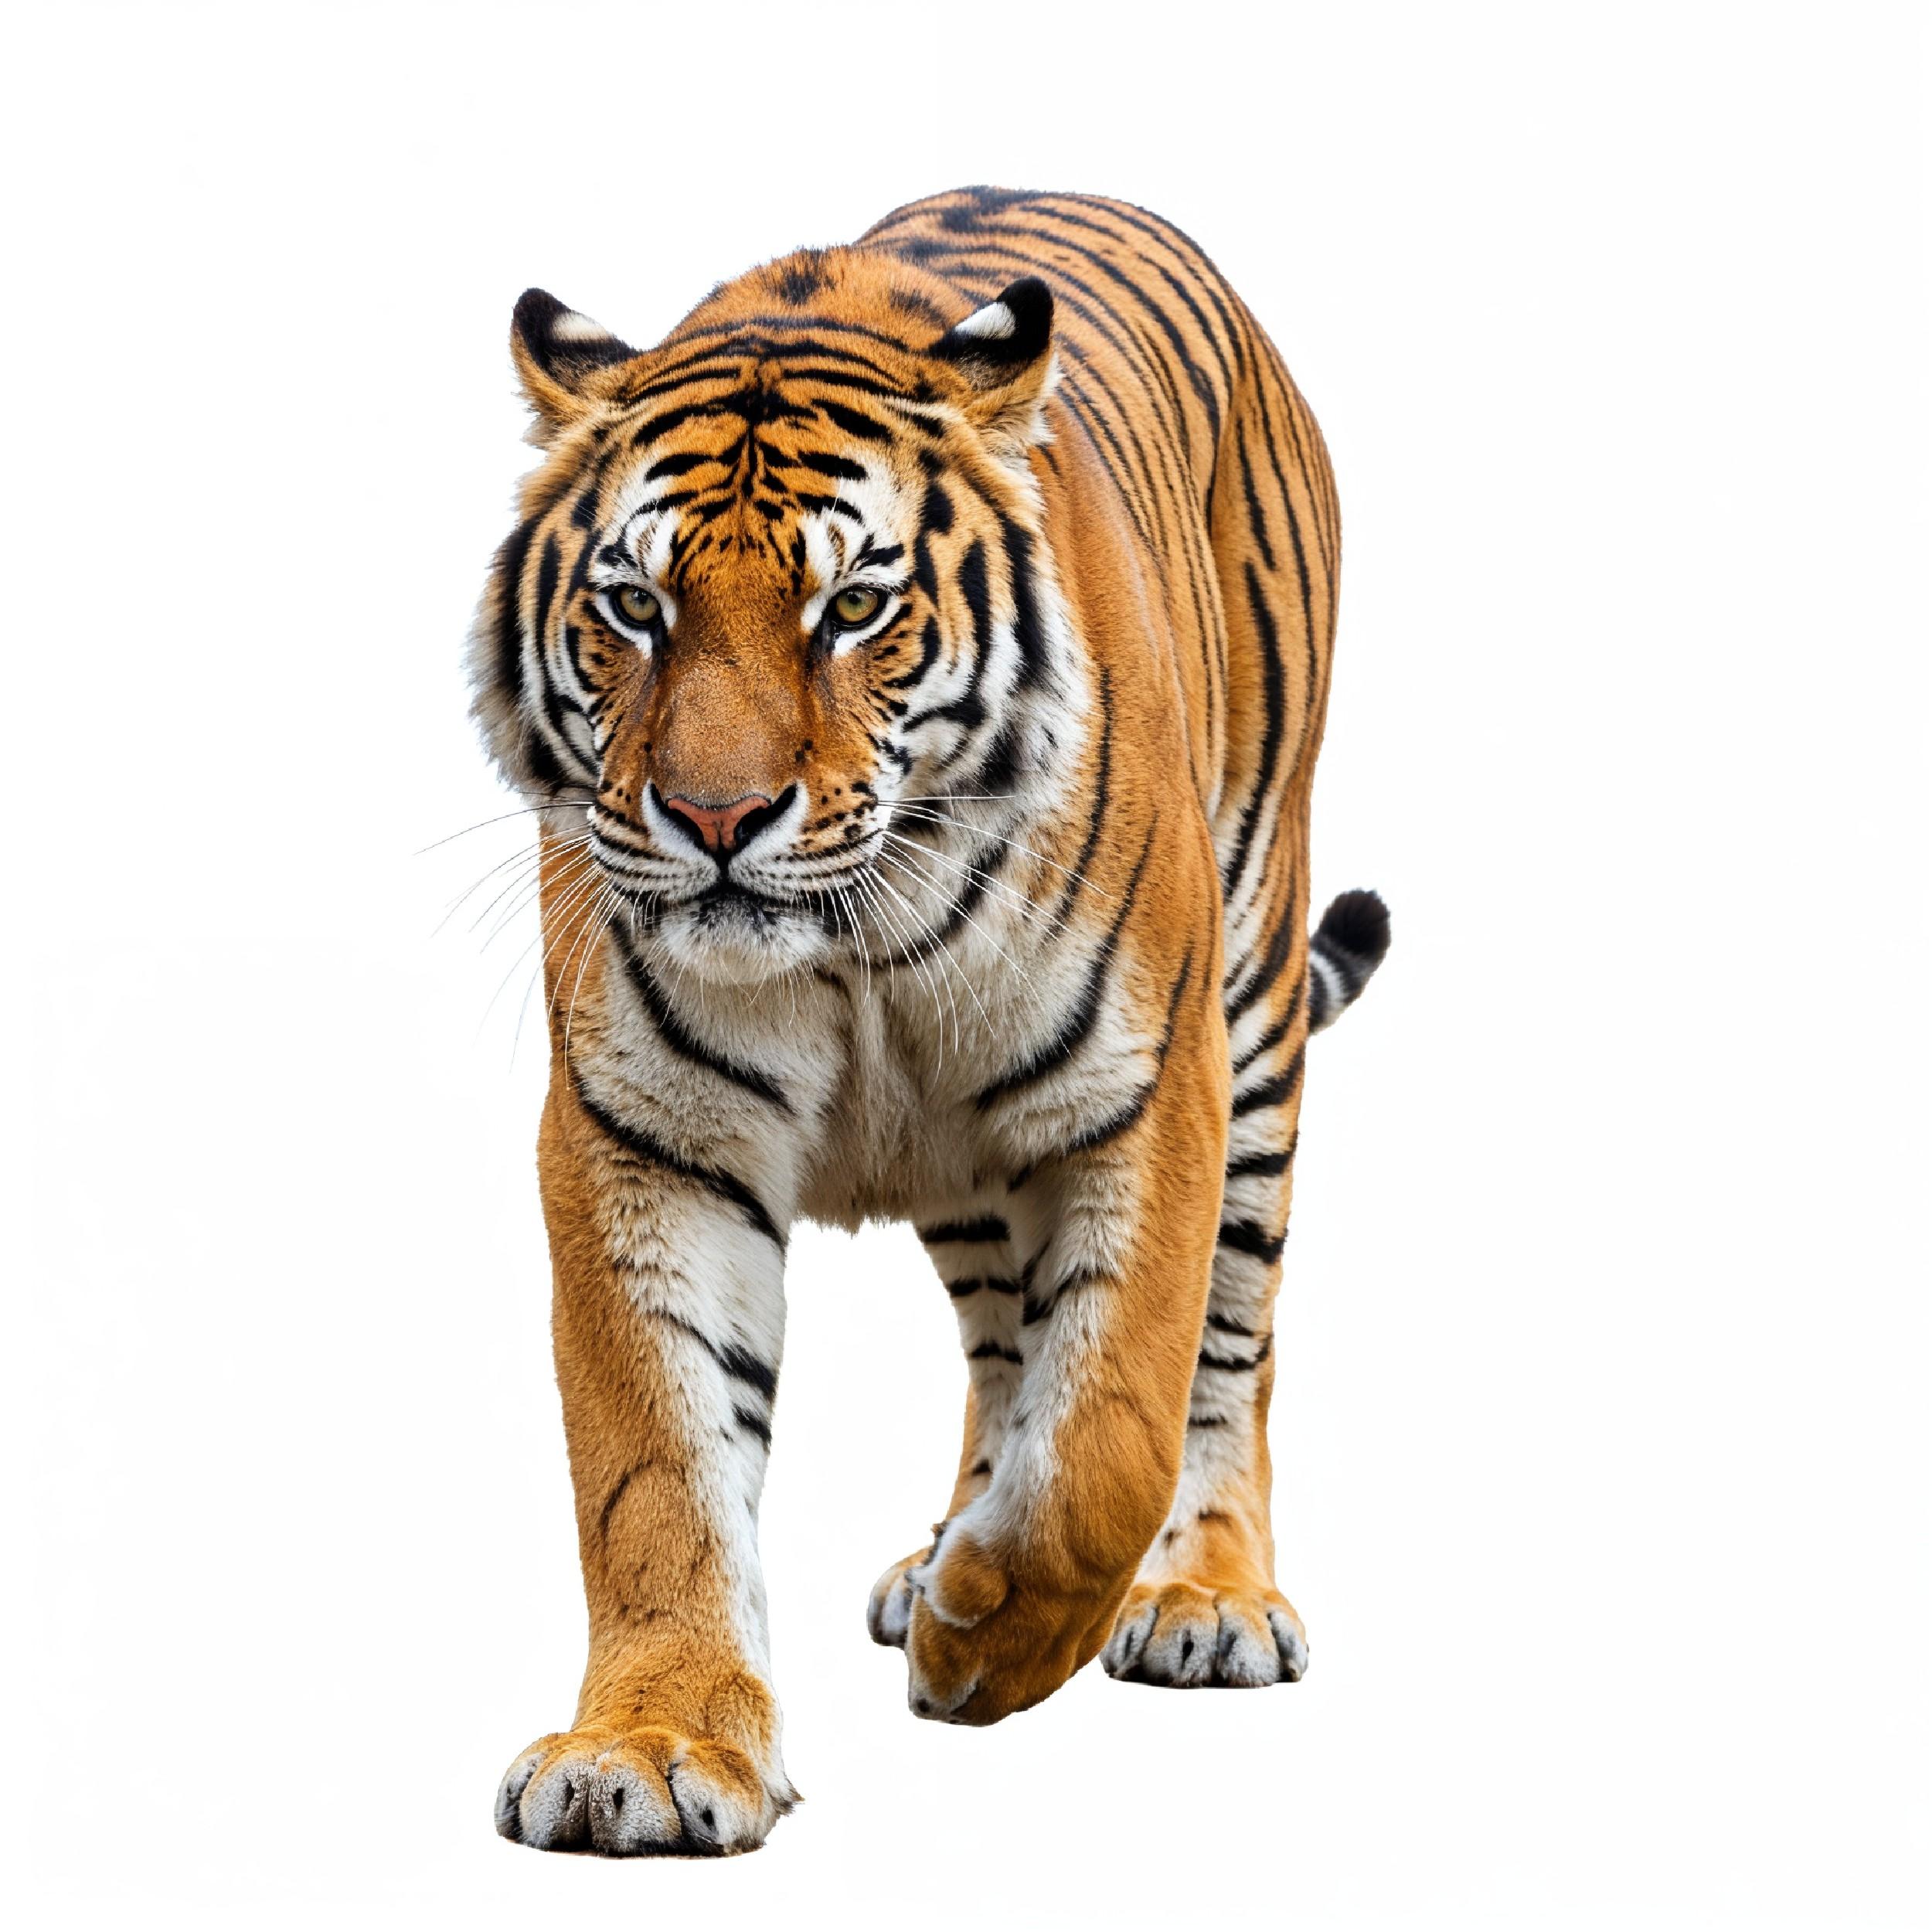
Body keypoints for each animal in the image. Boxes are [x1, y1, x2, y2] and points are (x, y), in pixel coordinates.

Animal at [467, 185, 1390, 1857]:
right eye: (634, 607)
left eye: (853, 609)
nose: (713, 818)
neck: (856, 947)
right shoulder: (643, 1132)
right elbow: (653, 1462)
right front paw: (650, 1747)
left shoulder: (1150, 1091)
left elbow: (1114, 1429)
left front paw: (993, 1640)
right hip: (973, 1149)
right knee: (1007, 1334)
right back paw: (956, 1537)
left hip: (1256, 996)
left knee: (1225, 1343)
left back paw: (1198, 1595)